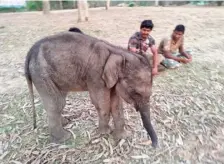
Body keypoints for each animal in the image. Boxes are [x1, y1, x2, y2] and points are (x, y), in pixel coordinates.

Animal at [24, 29, 158, 147]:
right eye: (135, 92)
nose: (154, 145)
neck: (117, 52)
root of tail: (30, 53)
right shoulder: (96, 76)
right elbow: (102, 104)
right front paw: (104, 133)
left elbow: (116, 104)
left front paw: (122, 137)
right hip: (42, 74)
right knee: (56, 104)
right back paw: (64, 138)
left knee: (59, 102)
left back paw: (65, 123)